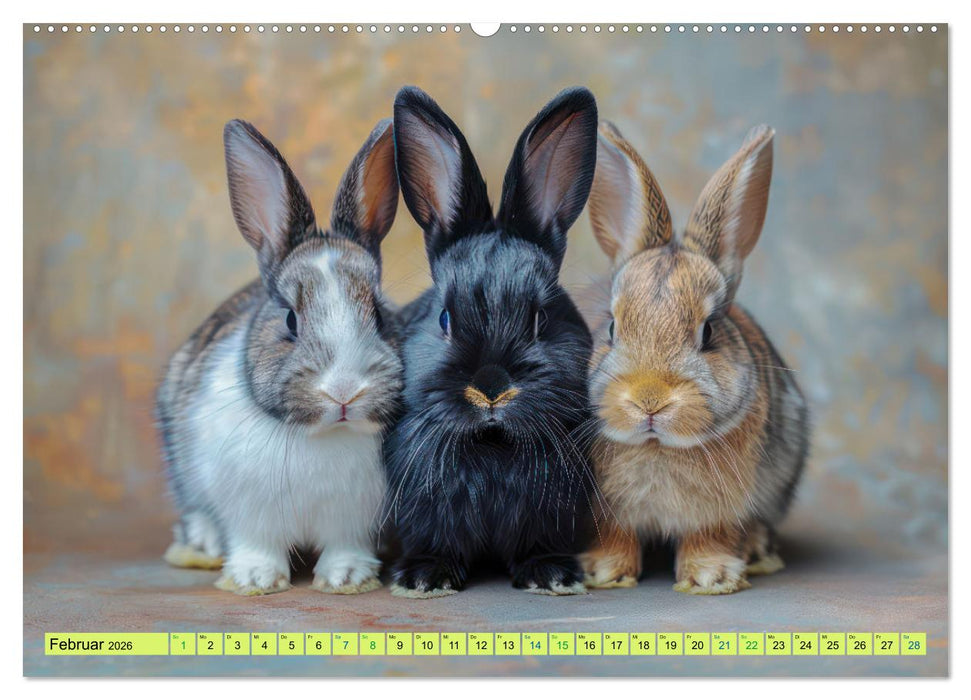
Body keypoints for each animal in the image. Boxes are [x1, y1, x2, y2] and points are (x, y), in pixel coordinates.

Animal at [156, 117, 403, 595]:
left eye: (381, 315)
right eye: (290, 319)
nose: (344, 391)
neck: (321, 436)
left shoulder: (355, 519)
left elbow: (345, 545)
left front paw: (346, 577)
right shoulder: (249, 510)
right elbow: (256, 542)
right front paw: (255, 578)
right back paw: (203, 543)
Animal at [381, 86, 599, 598]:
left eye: (542, 318)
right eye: (444, 318)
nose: (492, 388)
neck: (493, 443)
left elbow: (539, 544)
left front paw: (552, 575)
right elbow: (433, 542)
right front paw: (424, 578)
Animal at [579, 121, 809, 595]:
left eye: (709, 332)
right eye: (611, 327)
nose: (649, 400)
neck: (657, 447)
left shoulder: (719, 512)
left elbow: (709, 536)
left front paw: (711, 576)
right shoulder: (605, 510)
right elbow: (615, 535)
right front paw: (604, 572)